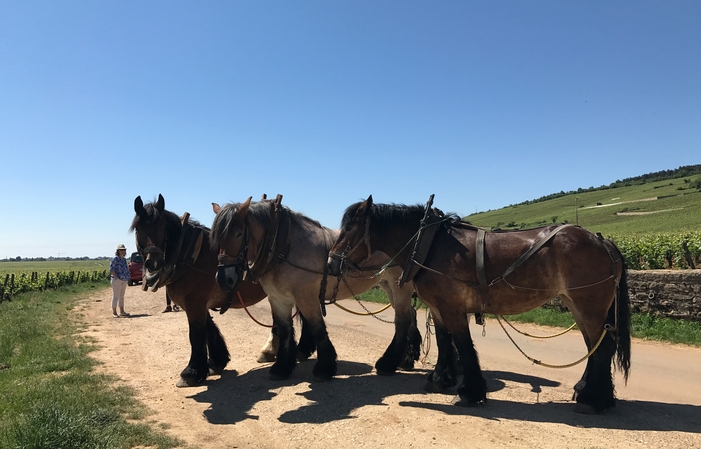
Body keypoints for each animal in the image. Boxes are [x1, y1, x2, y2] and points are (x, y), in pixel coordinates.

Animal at [131, 194, 314, 386]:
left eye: (163, 227)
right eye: (138, 228)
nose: (153, 263)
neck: (189, 255)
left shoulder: (195, 304)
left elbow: (196, 335)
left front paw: (191, 372)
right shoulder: (198, 304)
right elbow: (209, 330)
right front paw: (217, 361)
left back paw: (301, 349)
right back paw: (272, 351)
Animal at [209, 196, 422, 382]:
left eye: (239, 234)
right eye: (217, 237)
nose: (224, 279)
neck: (284, 246)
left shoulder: (306, 298)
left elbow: (317, 328)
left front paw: (324, 368)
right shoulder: (278, 299)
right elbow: (284, 330)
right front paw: (282, 367)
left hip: (400, 287)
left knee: (402, 320)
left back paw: (389, 363)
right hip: (388, 286)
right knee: (409, 316)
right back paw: (405, 359)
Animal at [328, 196, 628, 412]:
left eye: (350, 228)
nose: (330, 262)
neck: (430, 245)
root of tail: (602, 241)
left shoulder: (453, 308)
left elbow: (463, 345)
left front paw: (470, 392)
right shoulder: (438, 308)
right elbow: (444, 342)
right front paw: (440, 380)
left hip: (589, 305)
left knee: (602, 348)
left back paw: (594, 399)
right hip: (578, 305)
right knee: (593, 346)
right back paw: (588, 390)